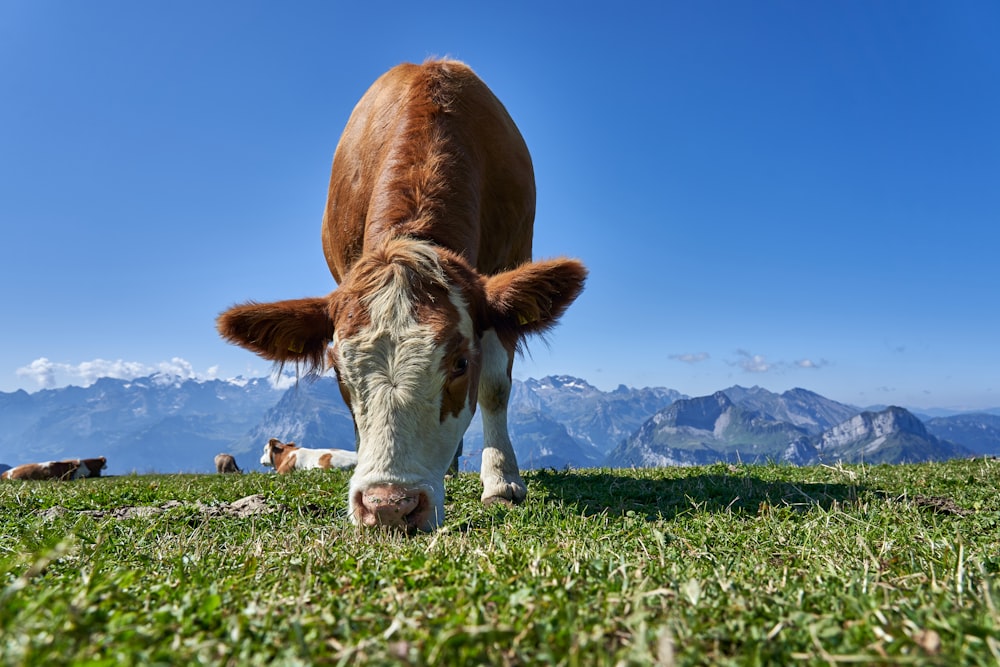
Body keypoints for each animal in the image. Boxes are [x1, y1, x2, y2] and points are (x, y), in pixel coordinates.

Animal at [215, 60, 584, 536]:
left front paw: (502, 481)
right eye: (339, 372)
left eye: (460, 363)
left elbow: (495, 388)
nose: (389, 506)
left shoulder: (507, 279)